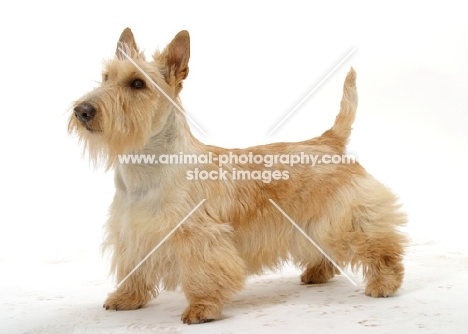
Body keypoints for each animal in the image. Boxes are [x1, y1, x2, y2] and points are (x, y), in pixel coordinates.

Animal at [68, 28, 406, 324]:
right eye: (106, 77)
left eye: (138, 84)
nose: (82, 110)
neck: (145, 166)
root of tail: (329, 140)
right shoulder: (130, 231)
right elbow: (133, 268)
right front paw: (127, 298)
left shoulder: (198, 236)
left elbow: (203, 274)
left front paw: (202, 308)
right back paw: (317, 273)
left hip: (347, 217)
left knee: (381, 245)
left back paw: (385, 283)